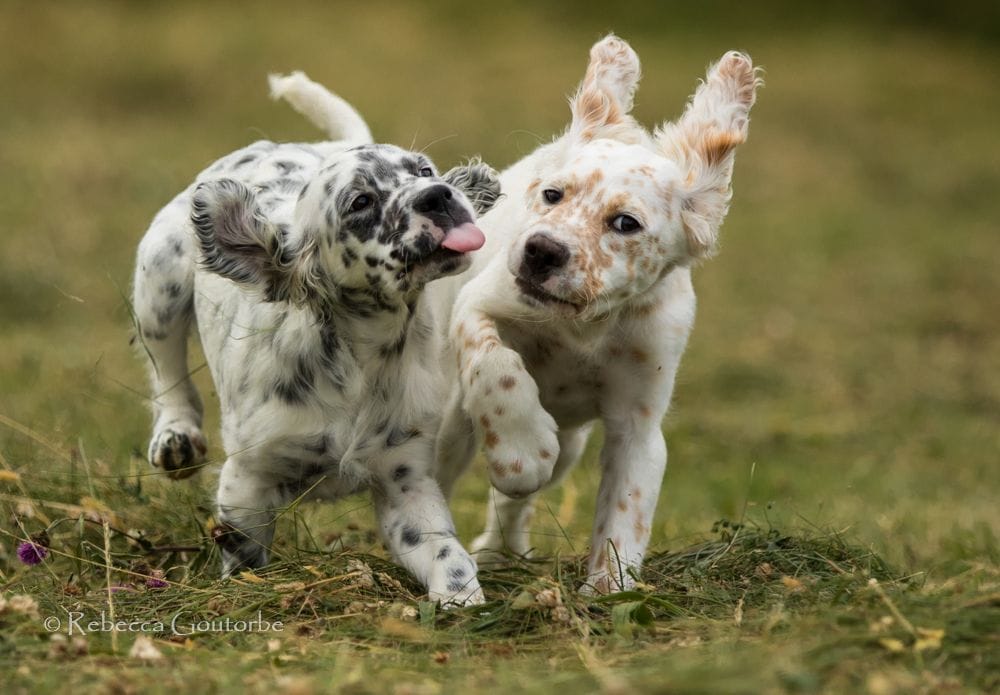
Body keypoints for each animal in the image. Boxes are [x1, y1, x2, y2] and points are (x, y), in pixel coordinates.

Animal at [135, 72, 498, 604]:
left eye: (424, 169)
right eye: (361, 202)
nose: (438, 195)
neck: (363, 353)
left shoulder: (405, 481)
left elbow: (446, 553)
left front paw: (462, 601)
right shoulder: (248, 481)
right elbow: (245, 557)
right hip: (159, 278)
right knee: (167, 369)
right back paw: (176, 438)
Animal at [434, 38, 760, 592]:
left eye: (625, 223)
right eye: (552, 194)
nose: (541, 251)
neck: (585, 324)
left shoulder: (638, 426)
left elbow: (624, 515)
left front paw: (607, 591)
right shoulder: (478, 304)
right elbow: (498, 366)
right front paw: (521, 451)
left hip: (569, 447)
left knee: (513, 505)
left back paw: (501, 554)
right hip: (454, 425)